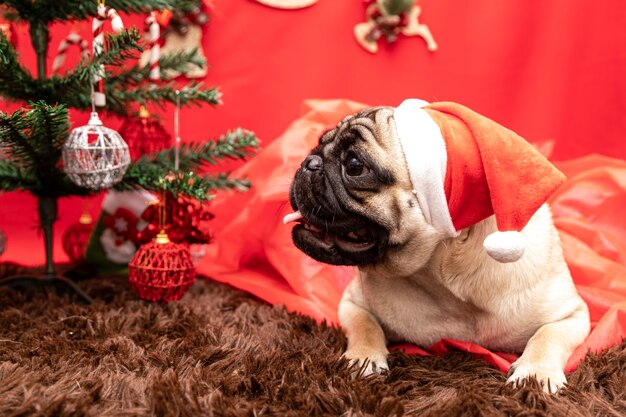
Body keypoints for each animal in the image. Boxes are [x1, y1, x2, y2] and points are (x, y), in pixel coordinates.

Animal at [286, 99, 588, 392]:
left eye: (355, 166)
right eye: (319, 142)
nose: (309, 161)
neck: (440, 280)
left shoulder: (573, 316)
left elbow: (547, 336)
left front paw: (535, 373)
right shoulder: (352, 303)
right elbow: (365, 324)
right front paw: (363, 357)